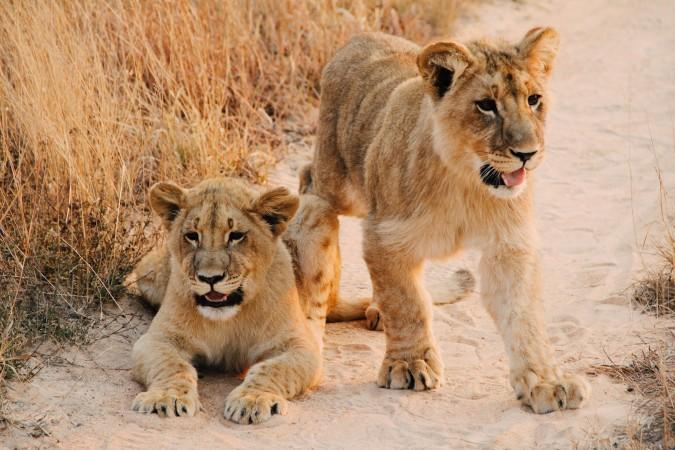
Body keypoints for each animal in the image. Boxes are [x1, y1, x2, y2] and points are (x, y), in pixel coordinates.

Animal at [127, 177, 367, 424]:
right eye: (192, 235)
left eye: (236, 236)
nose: (209, 278)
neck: (228, 317)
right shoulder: (157, 339)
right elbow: (171, 365)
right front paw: (167, 397)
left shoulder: (298, 346)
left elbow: (272, 369)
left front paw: (252, 400)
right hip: (148, 272)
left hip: (315, 208)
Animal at [301, 28, 590, 414]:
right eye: (486, 105)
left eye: (534, 100)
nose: (527, 154)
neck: (464, 181)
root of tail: (363, 35)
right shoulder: (386, 234)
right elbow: (406, 302)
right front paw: (409, 364)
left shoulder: (509, 245)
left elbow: (523, 316)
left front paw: (544, 382)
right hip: (337, 182)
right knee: (308, 178)